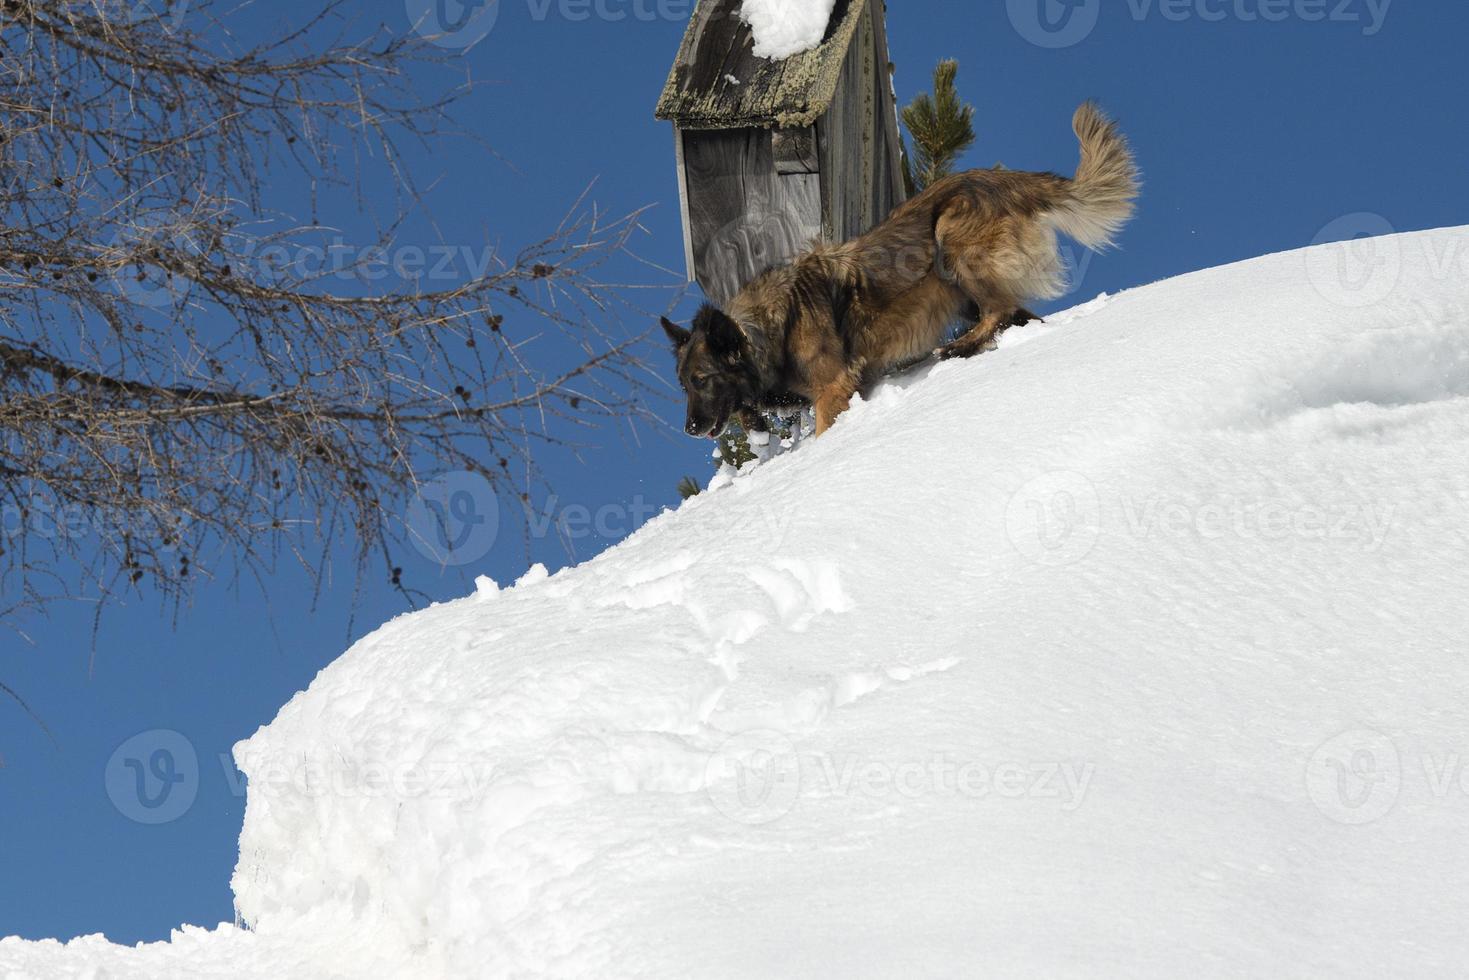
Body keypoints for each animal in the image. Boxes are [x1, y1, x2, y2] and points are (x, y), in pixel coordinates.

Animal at [663, 102, 1134, 437]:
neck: (773, 326)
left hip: (951, 239)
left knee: (999, 309)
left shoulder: (834, 387)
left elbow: (823, 430)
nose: (691, 429)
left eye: (702, 379)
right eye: (684, 384)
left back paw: (957, 348)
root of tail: (1006, 179)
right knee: (1016, 314)